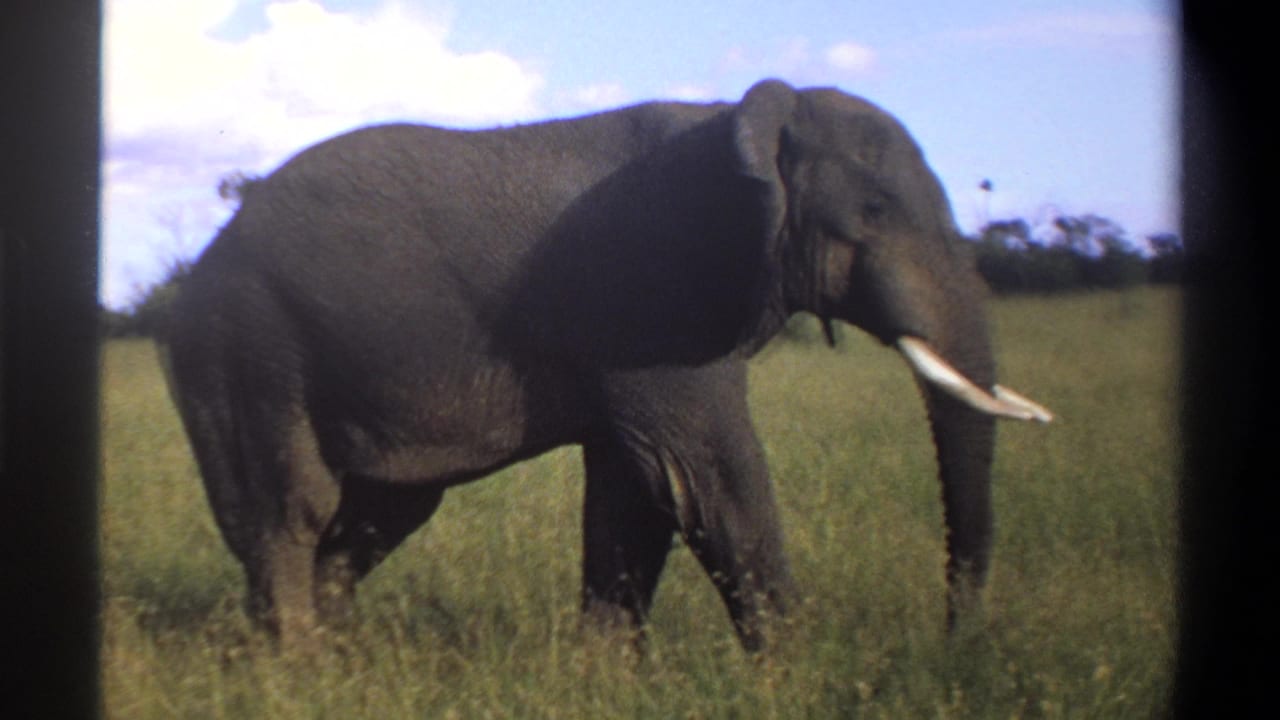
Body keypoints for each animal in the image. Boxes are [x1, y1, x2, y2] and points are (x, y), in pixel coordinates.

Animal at [163, 78, 1051, 652]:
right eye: (872, 211)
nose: (956, 639)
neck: (746, 121)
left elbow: (636, 492)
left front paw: (605, 676)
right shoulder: (653, 298)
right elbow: (708, 479)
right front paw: (800, 677)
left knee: (383, 513)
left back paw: (337, 659)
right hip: (247, 344)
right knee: (290, 508)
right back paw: (295, 670)